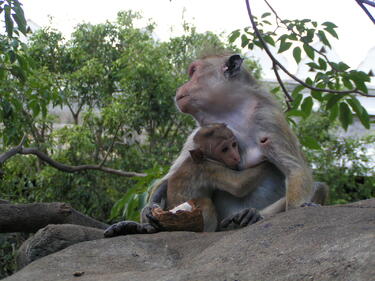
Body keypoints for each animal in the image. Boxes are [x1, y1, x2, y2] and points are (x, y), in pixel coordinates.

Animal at [104, 53, 328, 236]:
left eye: (193, 72)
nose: (179, 87)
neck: (231, 112)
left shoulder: (268, 117)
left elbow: (295, 170)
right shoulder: (197, 132)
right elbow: (171, 176)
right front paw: (148, 210)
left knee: (319, 186)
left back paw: (252, 216)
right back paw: (141, 227)